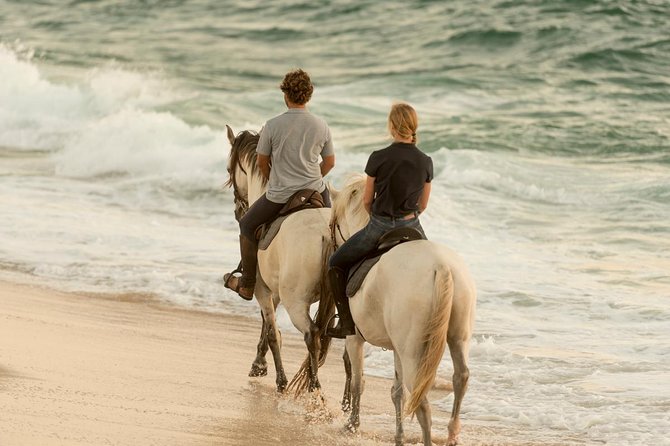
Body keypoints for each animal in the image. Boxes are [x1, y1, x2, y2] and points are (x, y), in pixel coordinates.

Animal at [226, 126, 336, 394]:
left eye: (228, 170)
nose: (238, 211)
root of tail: (325, 233)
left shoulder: (261, 289)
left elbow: (273, 332)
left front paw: (280, 380)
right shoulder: (272, 289)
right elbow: (268, 326)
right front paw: (259, 364)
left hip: (296, 302)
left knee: (312, 335)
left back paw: (314, 388)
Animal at [326, 174, 476, 446]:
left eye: (333, 223)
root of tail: (441, 266)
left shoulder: (354, 339)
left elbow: (358, 383)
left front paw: (352, 425)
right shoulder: (395, 347)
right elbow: (396, 392)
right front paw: (398, 436)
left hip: (413, 352)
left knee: (421, 400)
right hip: (458, 337)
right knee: (460, 378)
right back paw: (452, 433)